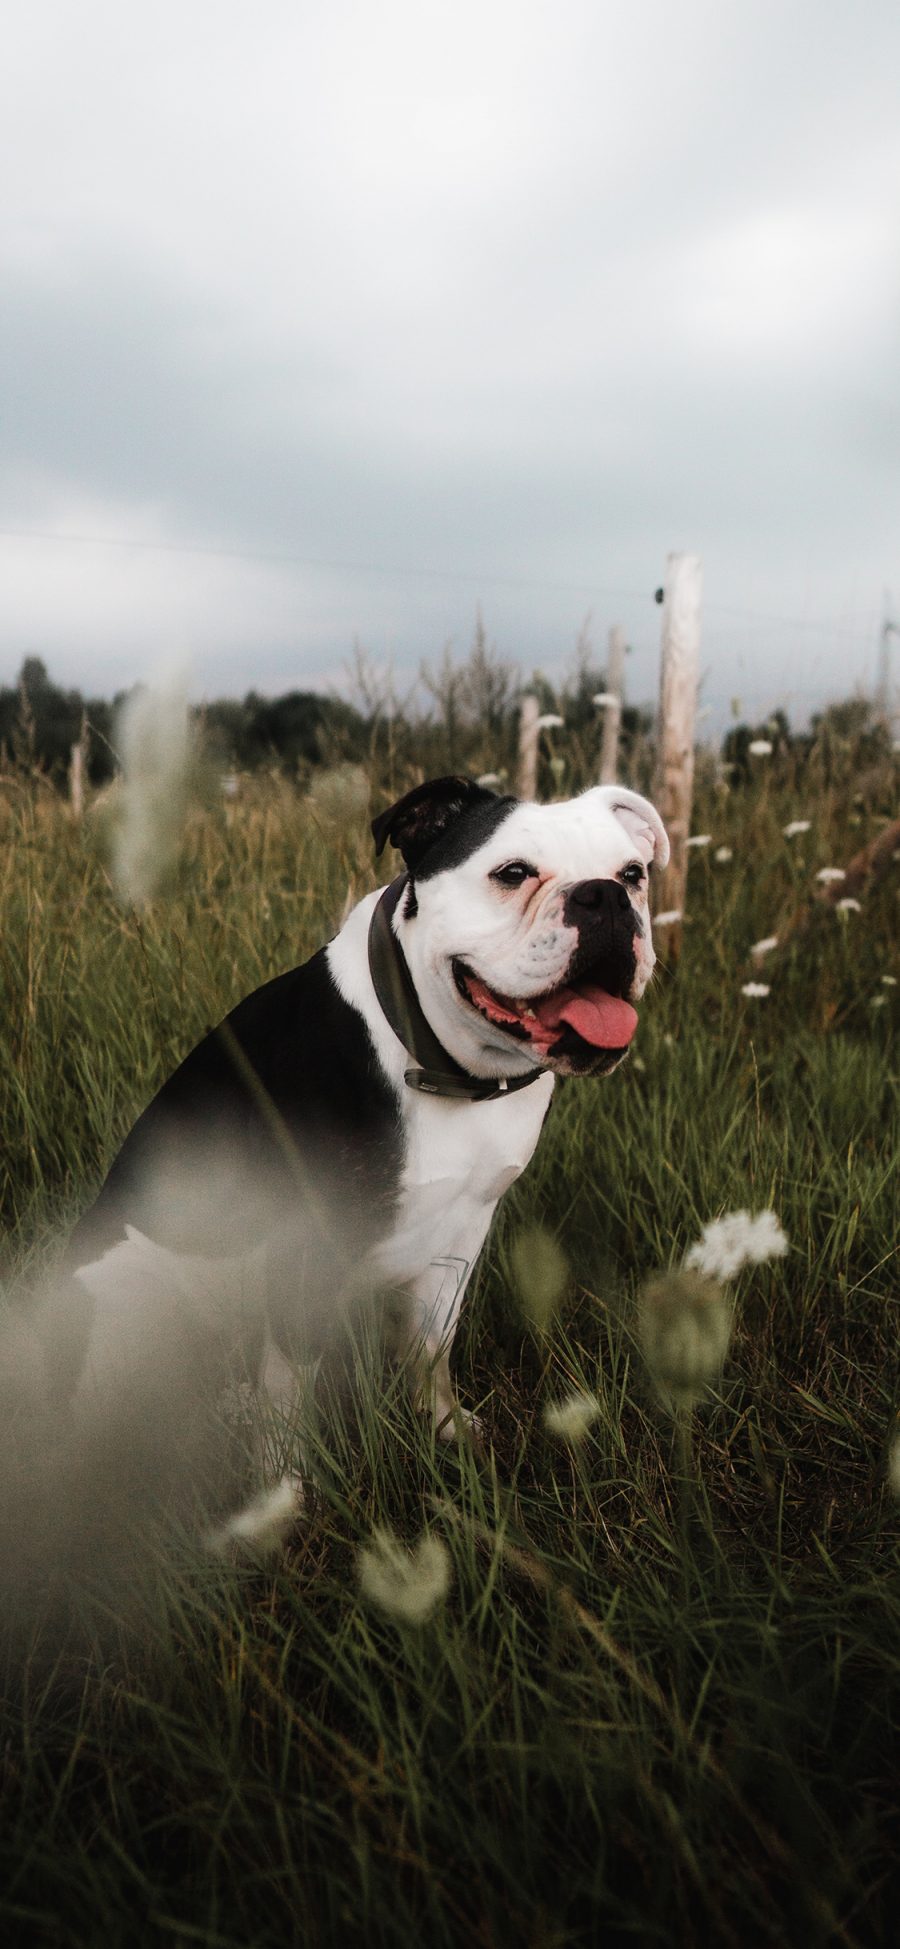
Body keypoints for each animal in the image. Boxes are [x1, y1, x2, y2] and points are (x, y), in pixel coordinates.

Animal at [59, 767, 666, 1465]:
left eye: (632, 874)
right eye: (512, 873)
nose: (605, 898)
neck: (440, 1061)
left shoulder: (461, 1234)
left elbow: (432, 1348)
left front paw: (447, 1430)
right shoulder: (300, 1251)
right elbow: (289, 1401)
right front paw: (286, 1485)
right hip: (123, 1291)